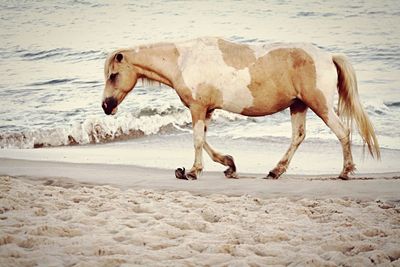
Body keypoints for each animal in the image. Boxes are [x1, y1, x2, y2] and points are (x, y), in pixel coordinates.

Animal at [101, 36, 380, 181]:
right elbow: (204, 140)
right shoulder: (206, 110)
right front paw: (228, 164)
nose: (106, 106)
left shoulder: (198, 108)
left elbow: (197, 140)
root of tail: (329, 56)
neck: (184, 61)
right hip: (299, 105)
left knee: (342, 132)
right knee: (298, 137)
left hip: (319, 104)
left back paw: (345, 171)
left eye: (114, 75)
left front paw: (192, 171)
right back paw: (275, 171)